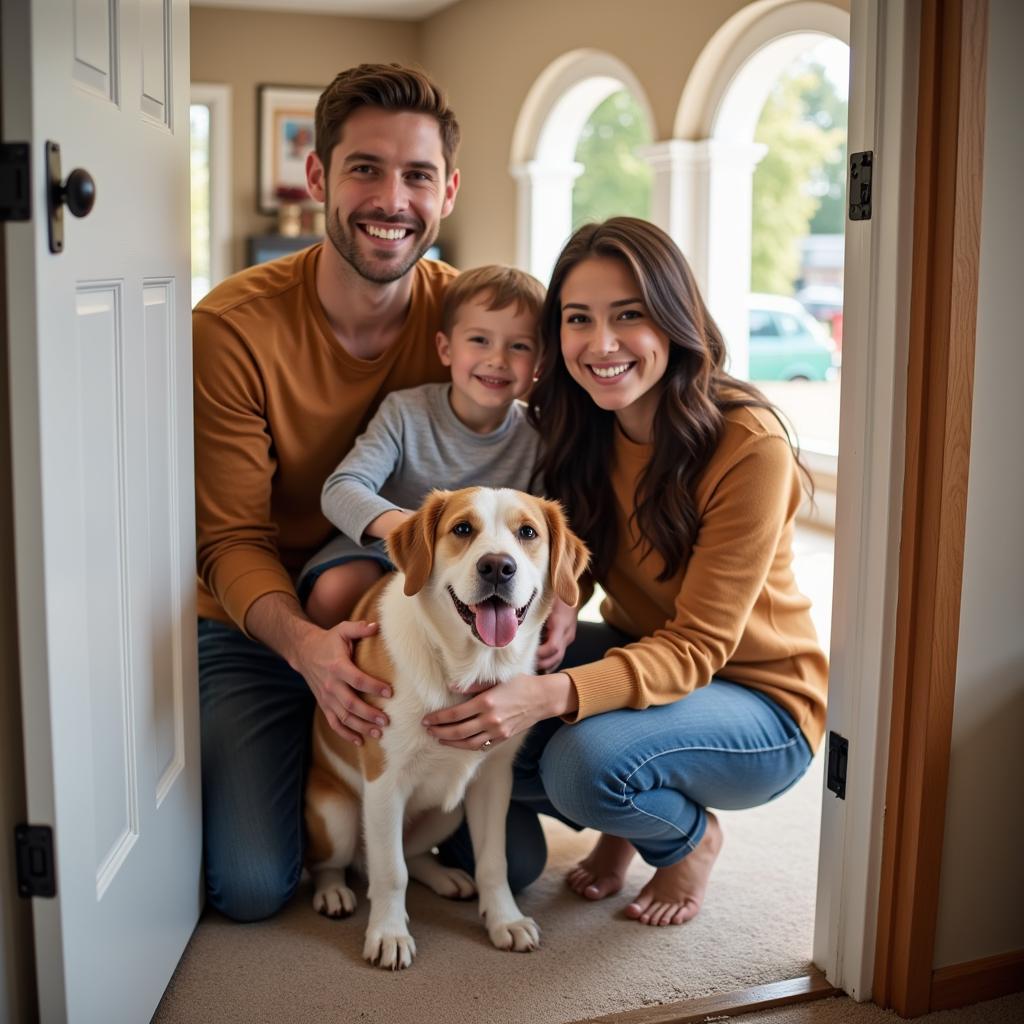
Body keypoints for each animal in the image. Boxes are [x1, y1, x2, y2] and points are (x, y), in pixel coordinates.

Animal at [303, 485, 589, 966]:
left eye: (527, 532)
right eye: (462, 529)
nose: (498, 566)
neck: (466, 668)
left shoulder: (493, 780)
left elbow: (493, 862)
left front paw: (504, 920)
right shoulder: (384, 784)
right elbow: (390, 871)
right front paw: (388, 933)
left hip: (448, 812)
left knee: (414, 854)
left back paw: (446, 878)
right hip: (337, 815)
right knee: (340, 863)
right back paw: (334, 893)